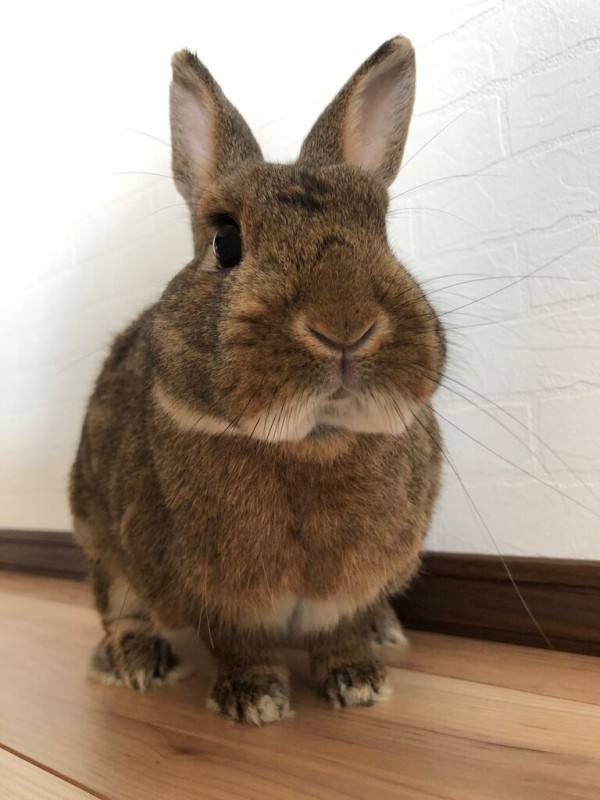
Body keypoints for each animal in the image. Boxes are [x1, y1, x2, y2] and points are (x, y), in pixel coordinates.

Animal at [70, 36, 444, 725]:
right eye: (225, 240)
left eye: (382, 234)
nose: (344, 327)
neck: (311, 443)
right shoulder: (216, 595)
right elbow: (239, 644)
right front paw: (254, 701)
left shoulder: (349, 588)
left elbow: (341, 631)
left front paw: (359, 681)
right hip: (97, 532)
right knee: (119, 605)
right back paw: (136, 663)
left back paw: (385, 632)